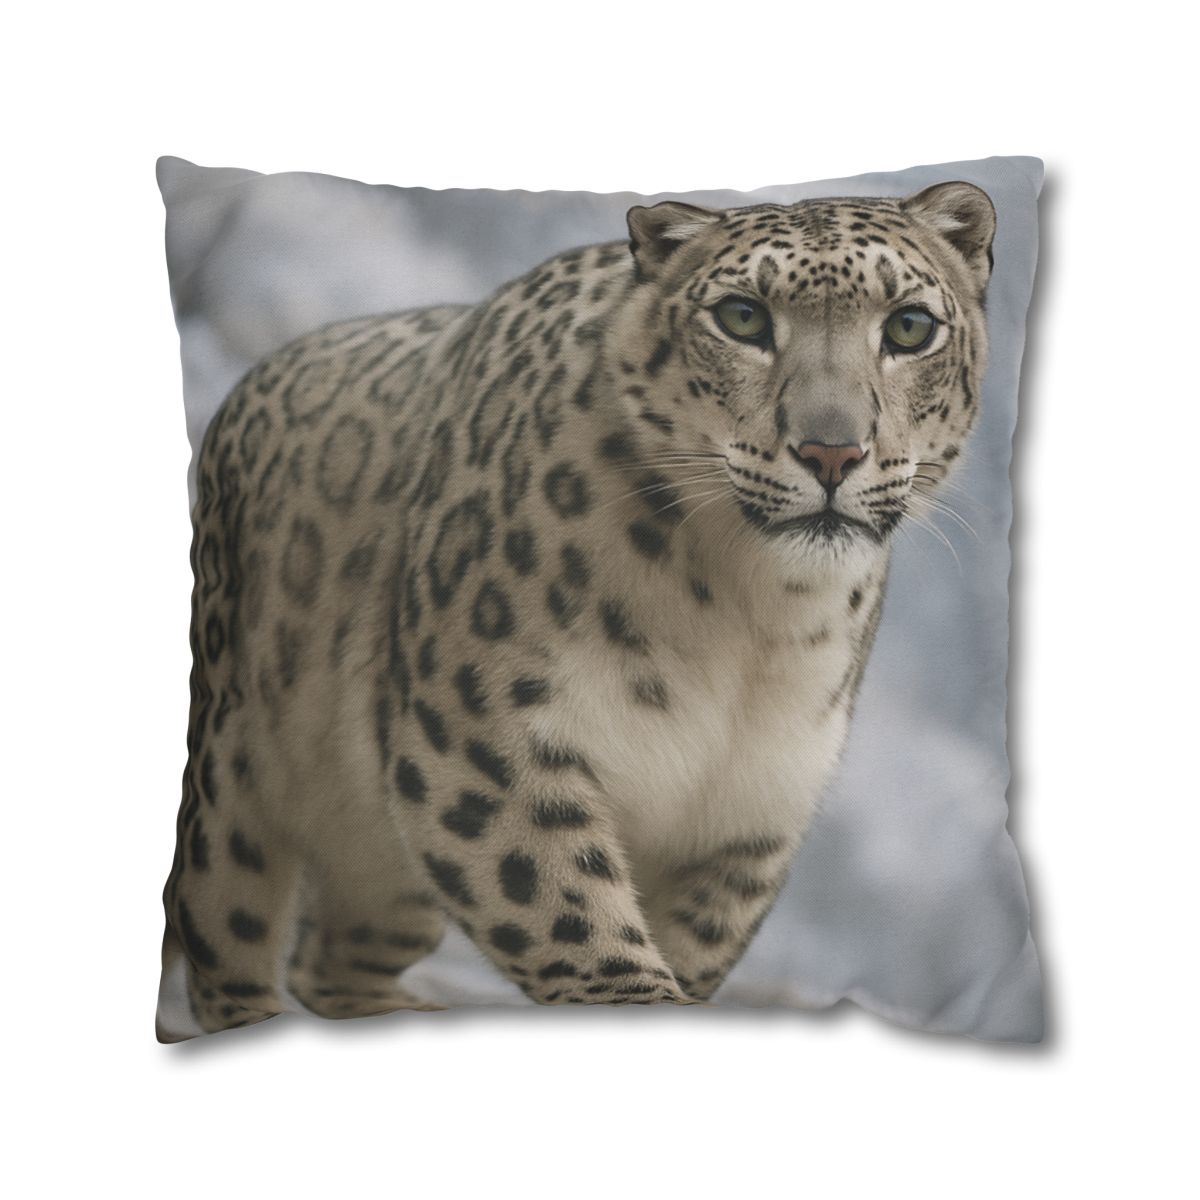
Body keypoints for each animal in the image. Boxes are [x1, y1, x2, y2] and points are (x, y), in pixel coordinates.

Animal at [157, 181, 996, 1039]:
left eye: (909, 327)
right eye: (742, 318)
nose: (832, 452)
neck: (751, 615)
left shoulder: (751, 808)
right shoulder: (482, 737)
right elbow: (571, 913)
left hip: (383, 874)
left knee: (333, 957)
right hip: (231, 779)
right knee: (228, 942)